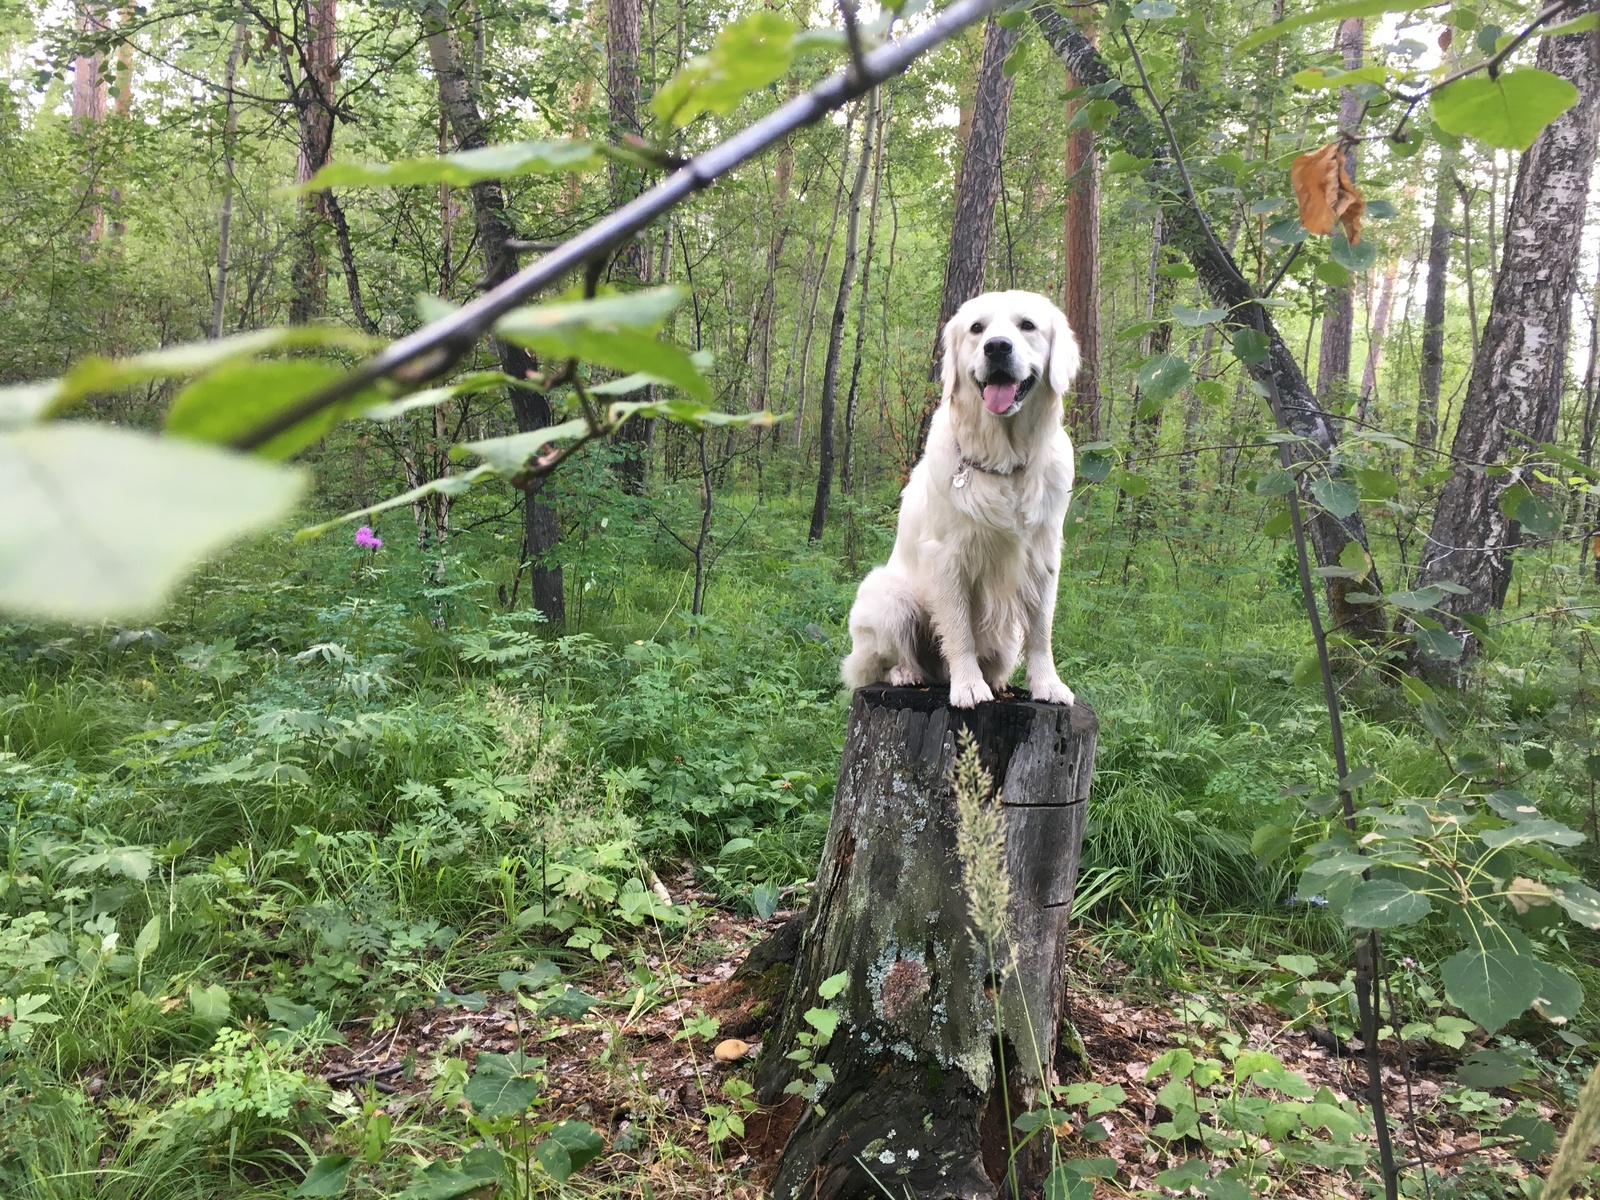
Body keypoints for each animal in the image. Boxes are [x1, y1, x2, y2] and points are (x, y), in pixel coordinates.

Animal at [844, 289, 1081, 710]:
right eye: (976, 328)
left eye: (1027, 325)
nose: (997, 347)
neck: (1005, 463)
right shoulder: (947, 557)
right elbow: (958, 629)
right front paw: (969, 685)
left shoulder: (1043, 556)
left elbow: (1041, 630)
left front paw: (1047, 684)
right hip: (888, 596)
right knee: (883, 663)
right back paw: (907, 673)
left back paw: (998, 682)